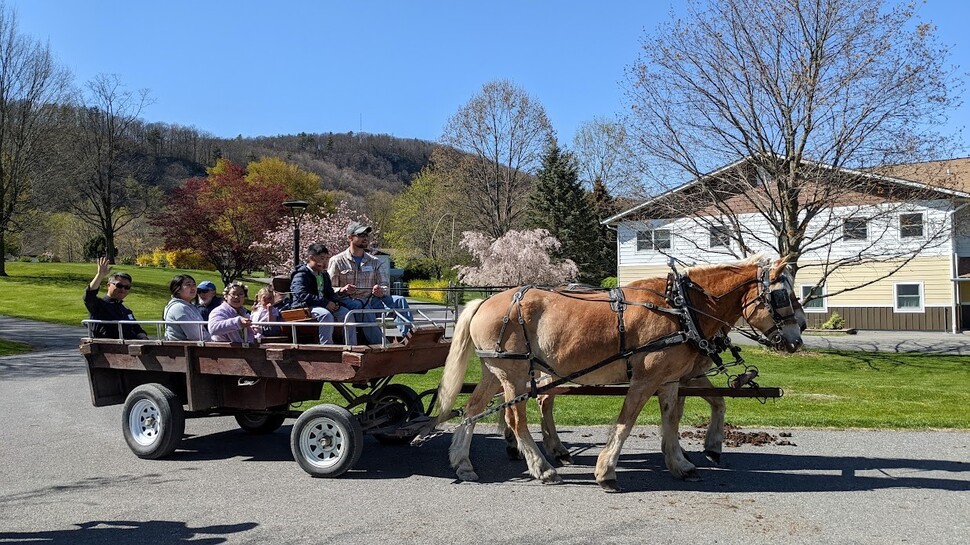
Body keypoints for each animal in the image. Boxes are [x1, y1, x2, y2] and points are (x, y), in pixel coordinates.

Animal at [430, 254, 800, 488]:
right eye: (783, 297)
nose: (796, 340)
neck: (681, 309)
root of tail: (484, 301)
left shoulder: (670, 380)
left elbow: (672, 421)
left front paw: (680, 463)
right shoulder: (646, 379)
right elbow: (626, 422)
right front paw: (606, 471)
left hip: (494, 371)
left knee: (473, 409)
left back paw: (463, 463)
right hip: (515, 374)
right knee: (515, 418)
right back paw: (542, 467)